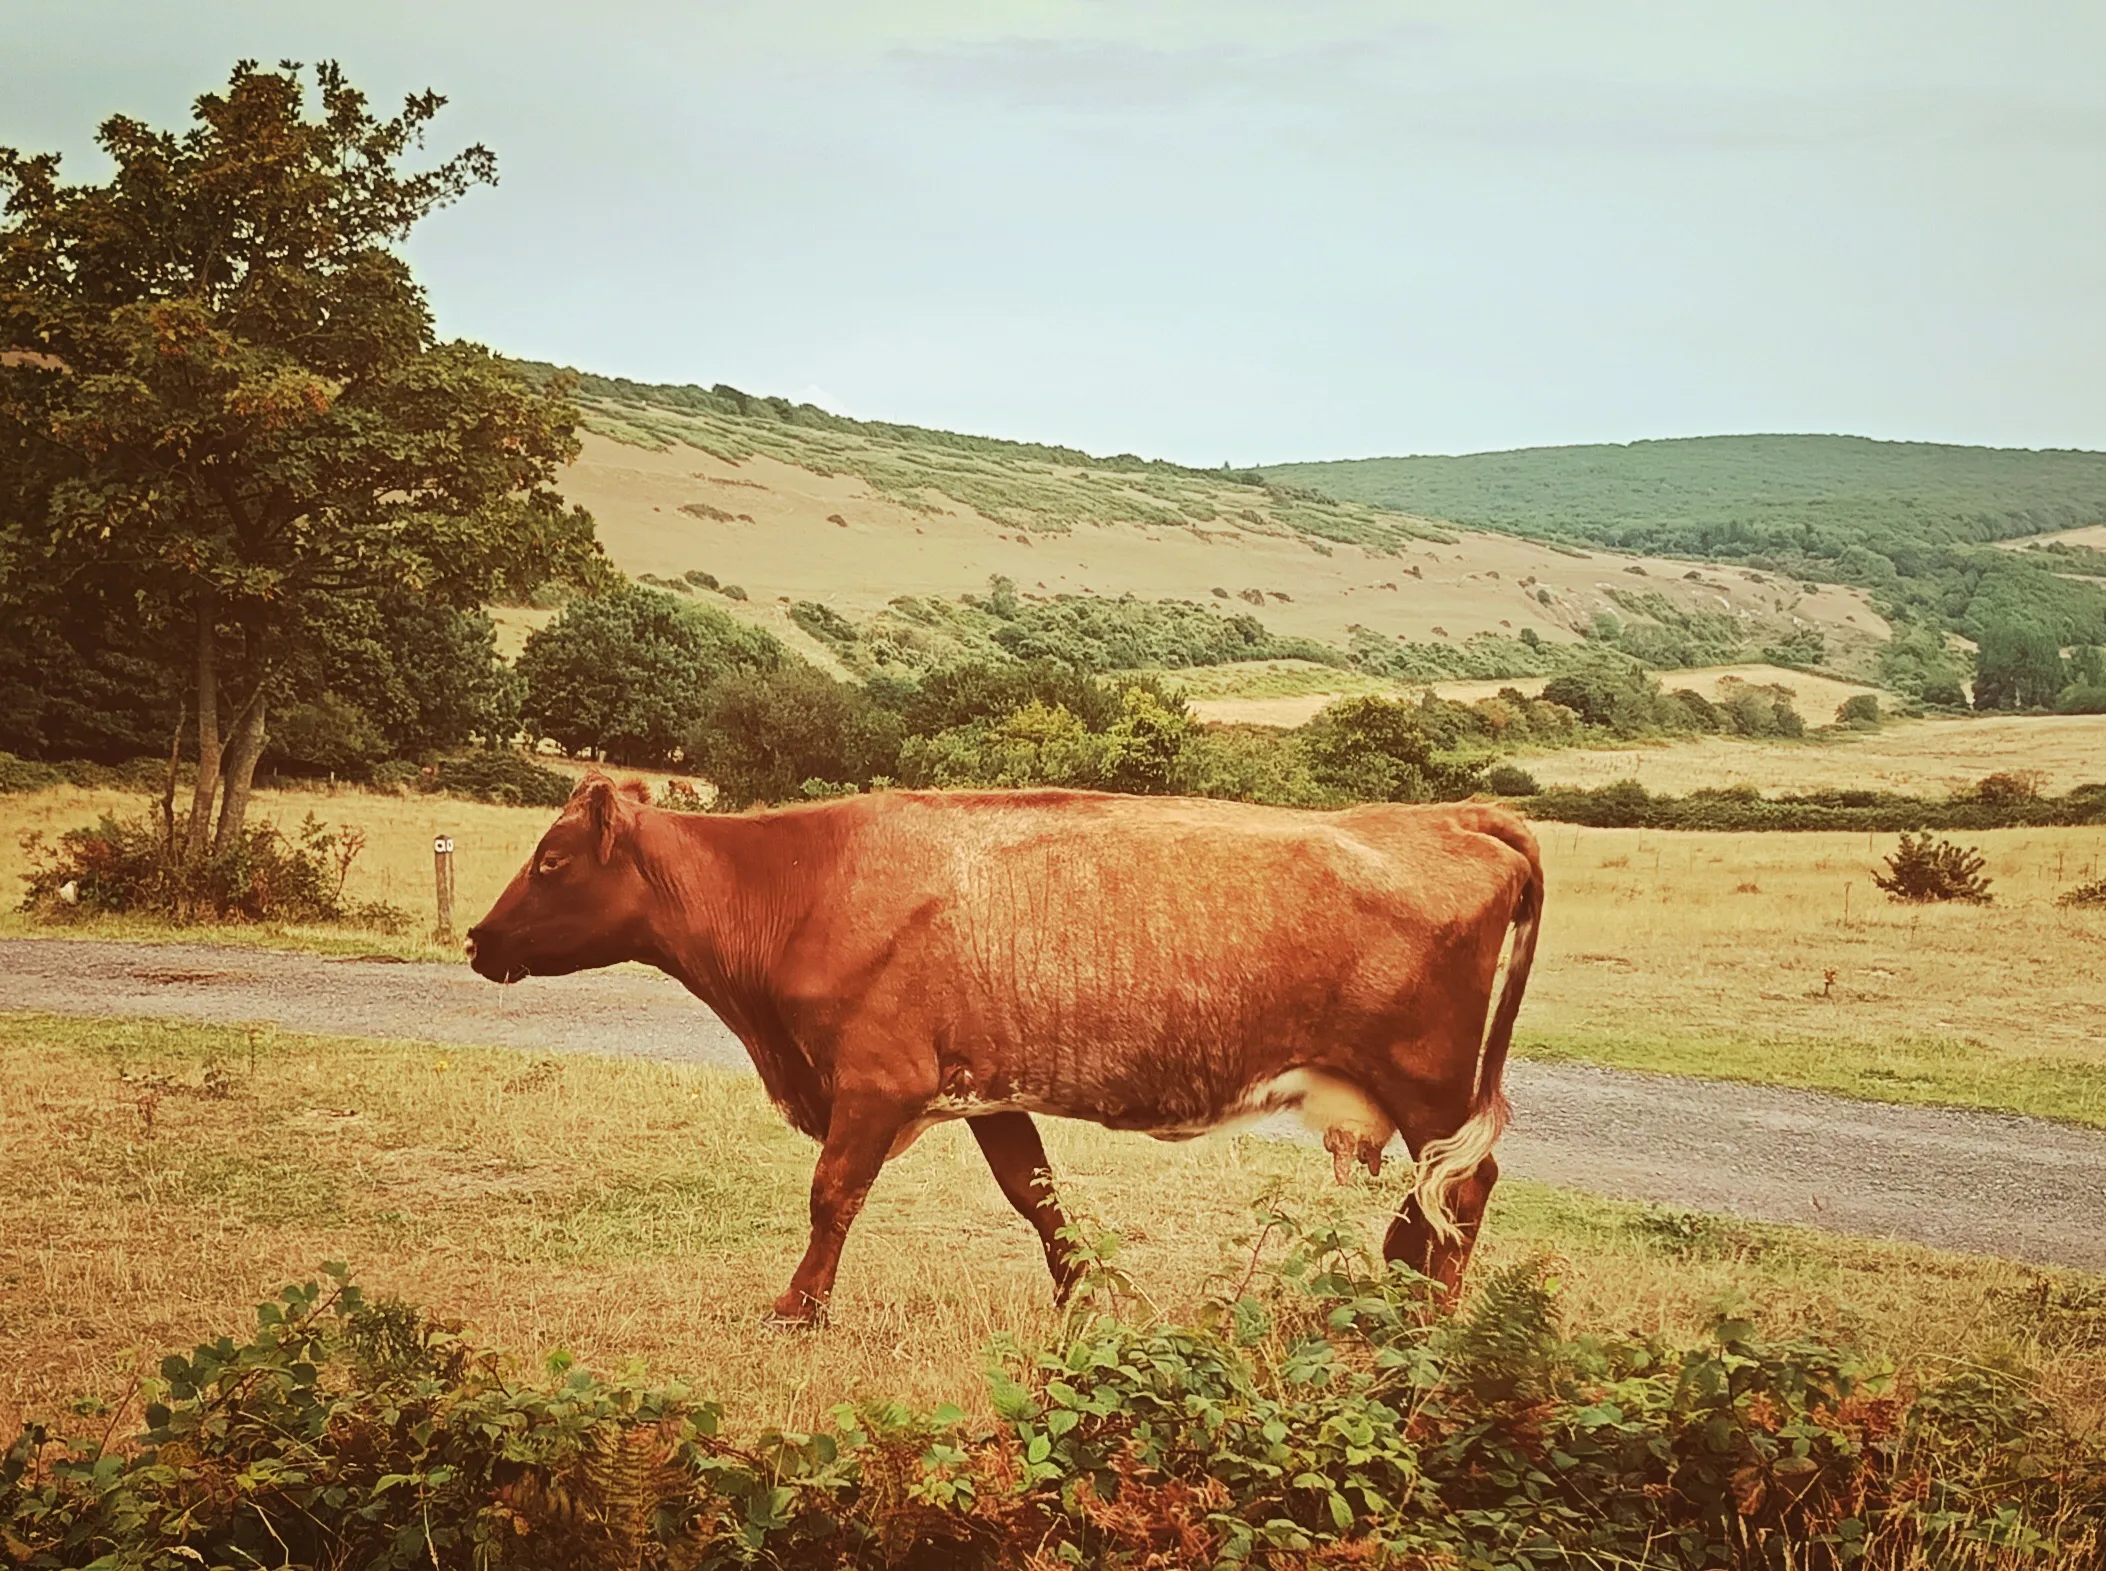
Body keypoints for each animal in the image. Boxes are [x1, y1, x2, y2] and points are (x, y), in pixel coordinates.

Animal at [466, 777, 1543, 1323]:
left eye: (550, 859)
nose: (477, 937)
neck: (806, 883)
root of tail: (1452, 813)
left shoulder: (875, 1079)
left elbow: (831, 1195)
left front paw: (798, 1308)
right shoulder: (988, 1088)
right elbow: (1036, 1196)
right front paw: (1084, 1298)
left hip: (1429, 1079)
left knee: (1464, 1189)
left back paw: (1427, 1316)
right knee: (1432, 1196)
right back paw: (1393, 1286)